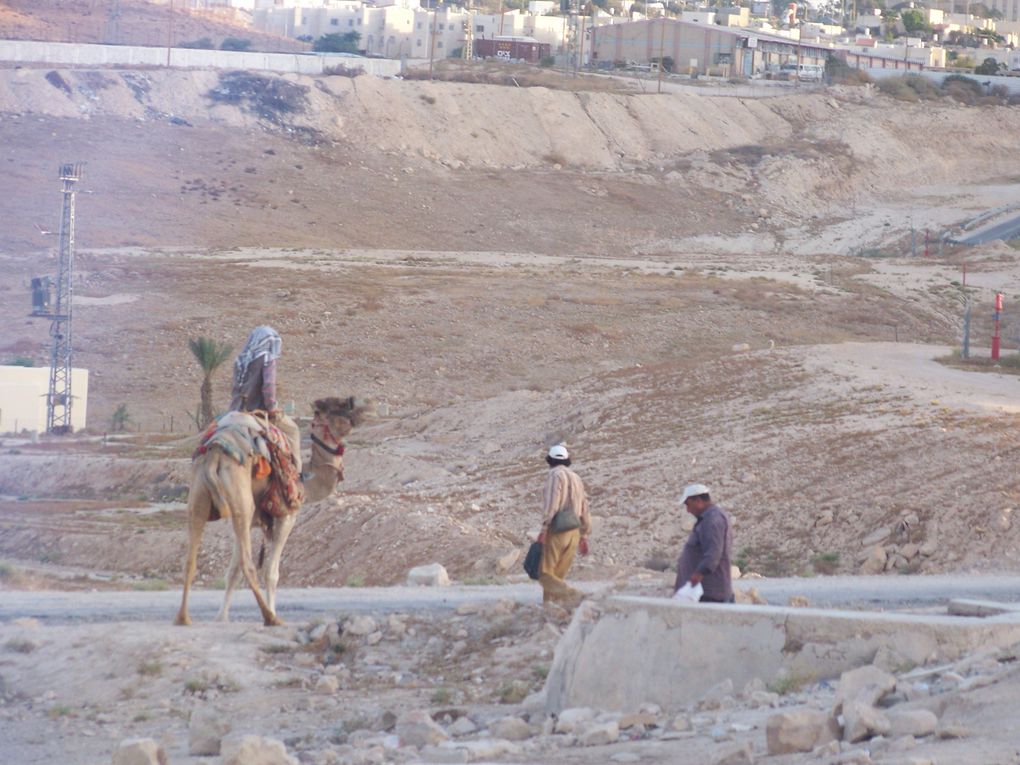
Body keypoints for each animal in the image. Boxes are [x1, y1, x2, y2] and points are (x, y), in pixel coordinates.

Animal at [176, 397, 367, 624]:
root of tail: (216, 455)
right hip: (242, 503)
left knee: (190, 560)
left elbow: (232, 571)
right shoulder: (286, 516)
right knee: (249, 565)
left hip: (199, 497)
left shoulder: (249, 524)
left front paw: (221, 617)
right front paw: (272, 611)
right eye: (340, 406)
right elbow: (271, 572)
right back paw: (270, 618)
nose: (359, 405)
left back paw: (183, 618)